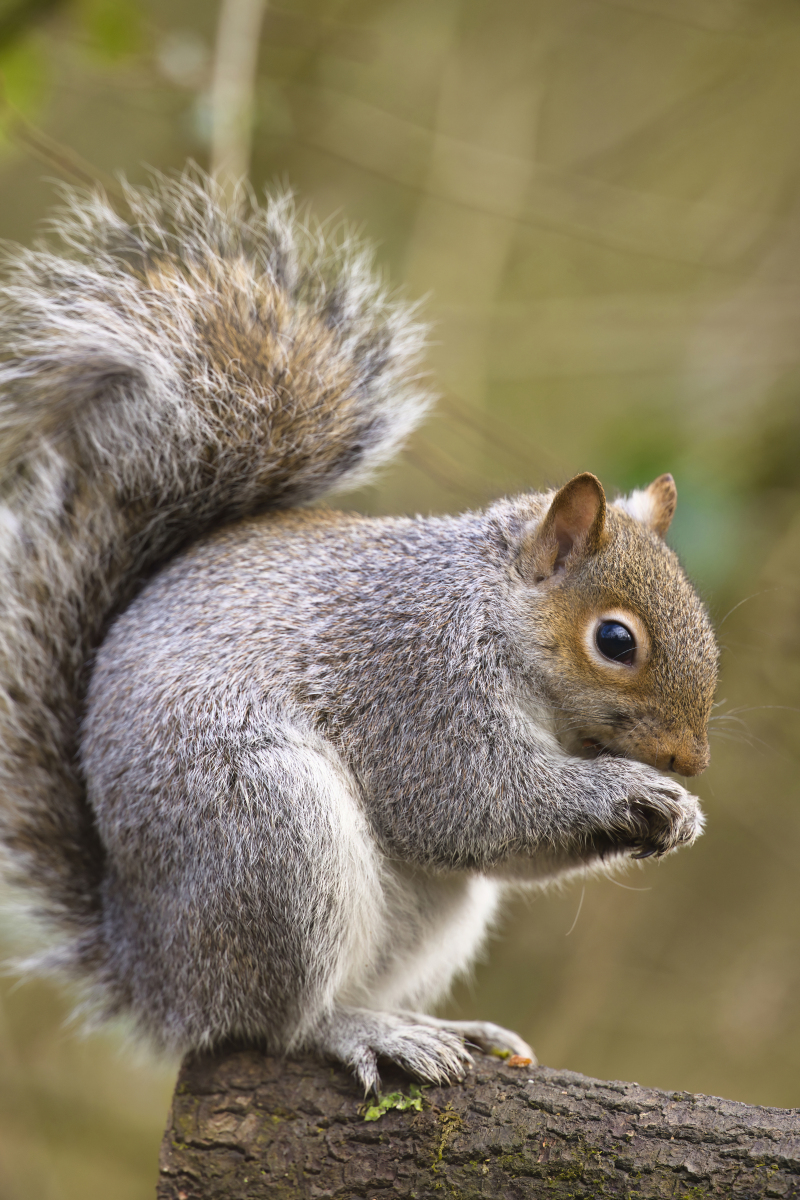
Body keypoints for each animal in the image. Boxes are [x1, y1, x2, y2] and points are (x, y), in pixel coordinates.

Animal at [0, 174, 719, 1094]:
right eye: (617, 642)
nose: (689, 759)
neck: (489, 612)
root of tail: (154, 976)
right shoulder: (415, 682)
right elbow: (469, 803)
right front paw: (633, 794)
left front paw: (678, 815)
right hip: (267, 835)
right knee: (272, 1023)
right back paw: (356, 1030)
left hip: (424, 906)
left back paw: (432, 1022)